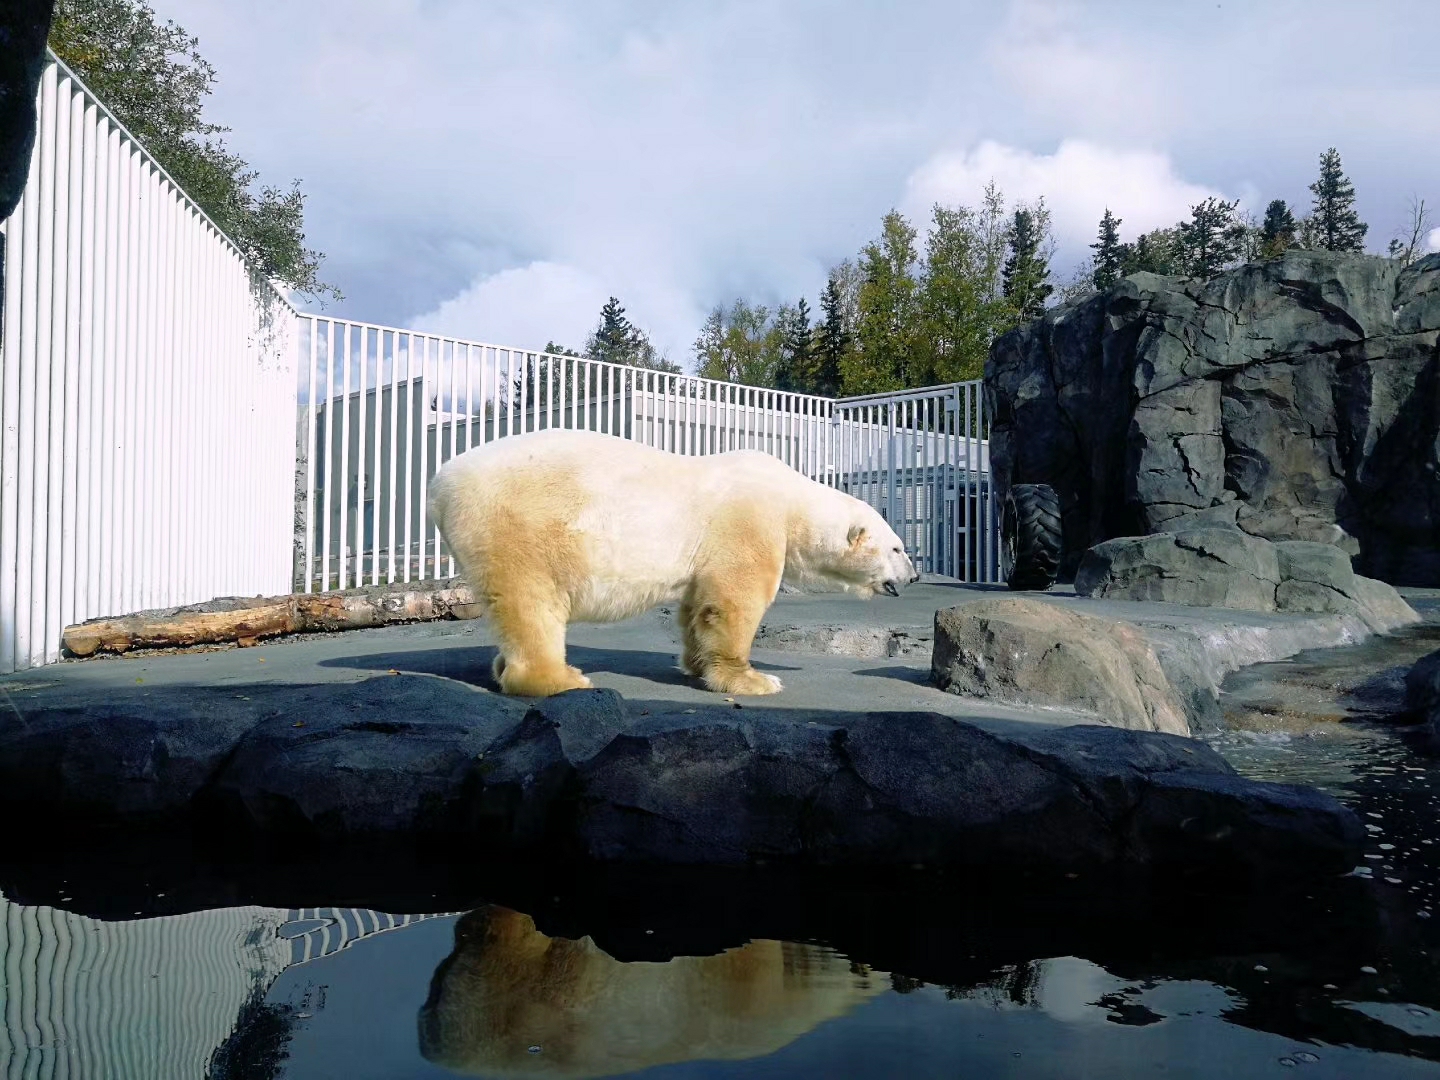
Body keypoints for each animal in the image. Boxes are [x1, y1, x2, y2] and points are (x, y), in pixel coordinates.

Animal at [429, 432, 921, 702]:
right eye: (898, 548)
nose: (914, 576)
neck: (791, 500)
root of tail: (439, 484)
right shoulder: (748, 521)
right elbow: (735, 599)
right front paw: (755, 679)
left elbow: (698, 604)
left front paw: (696, 665)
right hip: (519, 529)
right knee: (532, 601)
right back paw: (563, 679)